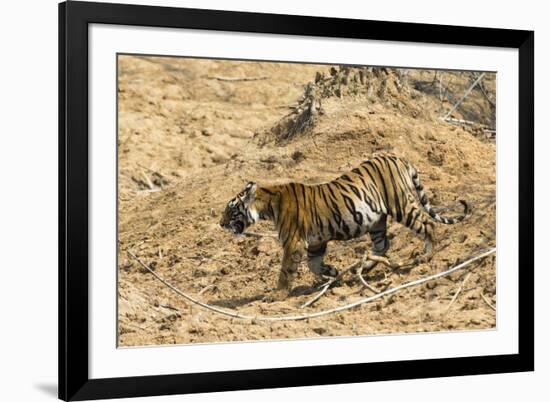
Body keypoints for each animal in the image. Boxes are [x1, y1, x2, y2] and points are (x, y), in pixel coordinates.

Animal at [220, 155, 470, 296]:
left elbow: (286, 270)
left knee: (427, 224)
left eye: (231, 210)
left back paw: (427, 255)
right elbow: (313, 265)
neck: (268, 204)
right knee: (383, 245)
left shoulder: (293, 242)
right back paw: (366, 267)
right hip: (376, 221)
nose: (220, 223)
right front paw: (332, 272)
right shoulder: (315, 242)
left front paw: (277, 296)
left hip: (401, 205)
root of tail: (400, 158)